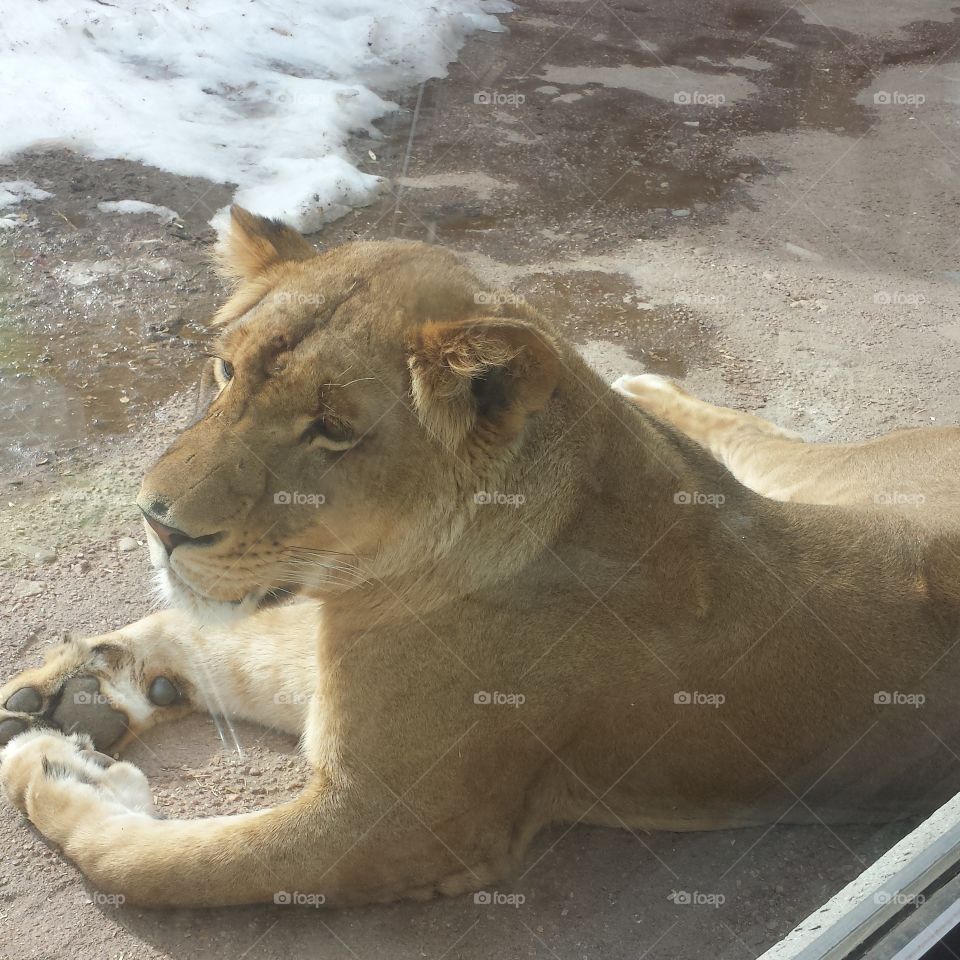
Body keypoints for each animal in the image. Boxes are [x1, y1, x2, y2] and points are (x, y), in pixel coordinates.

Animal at [2, 207, 960, 908]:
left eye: (333, 428)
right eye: (224, 371)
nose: (157, 522)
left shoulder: (395, 822)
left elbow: (156, 866)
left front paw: (56, 772)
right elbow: (229, 643)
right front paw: (74, 692)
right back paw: (648, 387)